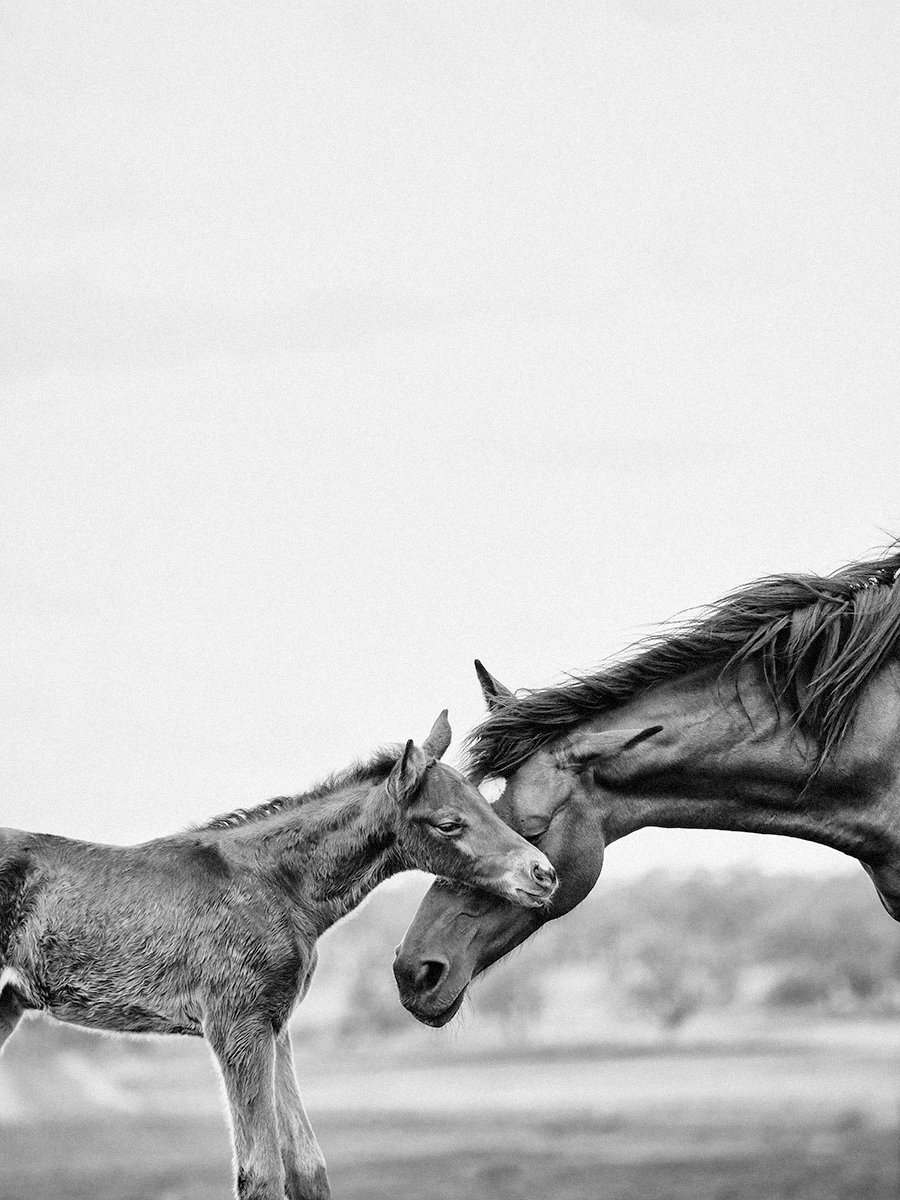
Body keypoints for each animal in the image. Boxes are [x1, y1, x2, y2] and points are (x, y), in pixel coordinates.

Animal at [0, 710, 561, 1200]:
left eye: (486, 804)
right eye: (448, 824)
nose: (542, 874)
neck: (278, 886)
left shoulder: (276, 1025)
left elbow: (307, 1167)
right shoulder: (236, 1026)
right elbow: (261, 1172)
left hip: (6, 1006)